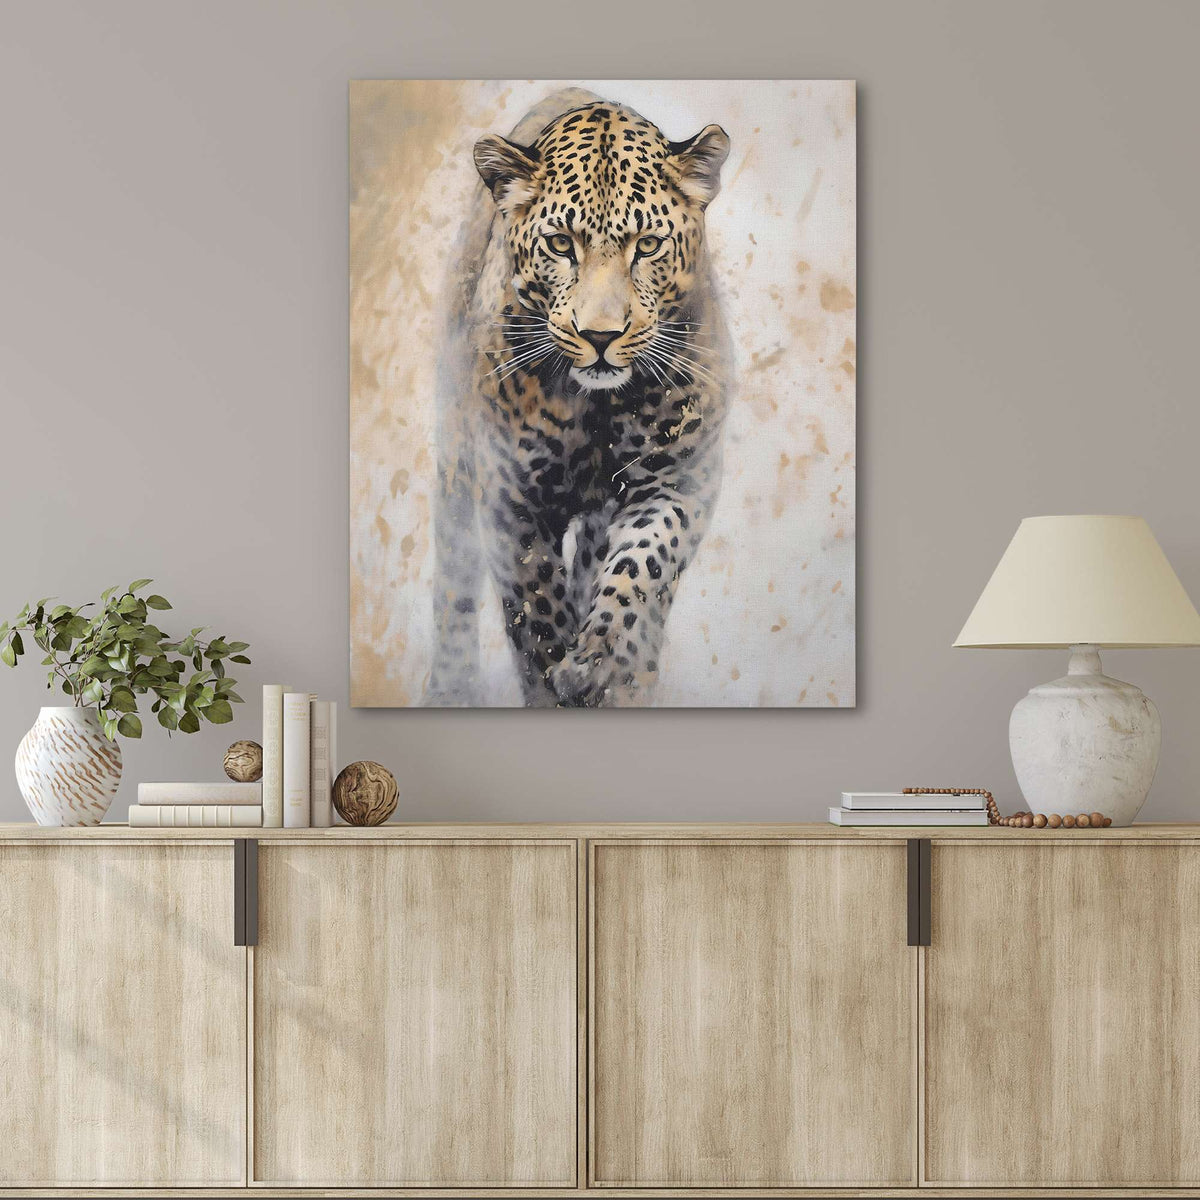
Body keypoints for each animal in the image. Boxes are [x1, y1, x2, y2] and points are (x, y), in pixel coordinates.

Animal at [428, 89, 731, 707]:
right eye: (561, 244)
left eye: (648, 245)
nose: (600, 336)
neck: (597, 410)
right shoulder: (510, 500)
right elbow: (537, 611)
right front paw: (557, 680)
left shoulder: (679, 480)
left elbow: (641, 567)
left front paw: (601, 662)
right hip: (455, 459)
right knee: (453, 578)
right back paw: (450, 686)